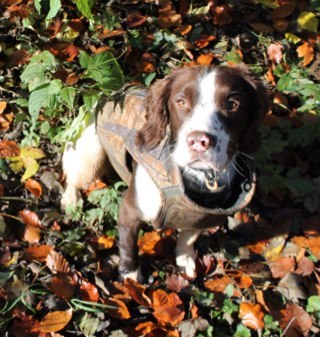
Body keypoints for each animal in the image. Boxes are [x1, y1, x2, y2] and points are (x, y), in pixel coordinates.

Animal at [60, 64, 268, 280]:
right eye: (181, 101)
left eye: (232, 104)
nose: (199, 141)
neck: (198, 177)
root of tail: (107, 94)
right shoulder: (129, 210)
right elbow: (128, 245)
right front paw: (130, 275)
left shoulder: (200, 217)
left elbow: (188, 237)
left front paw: (185, 260)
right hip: (89, 155)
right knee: (73, 177)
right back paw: (71, 200)